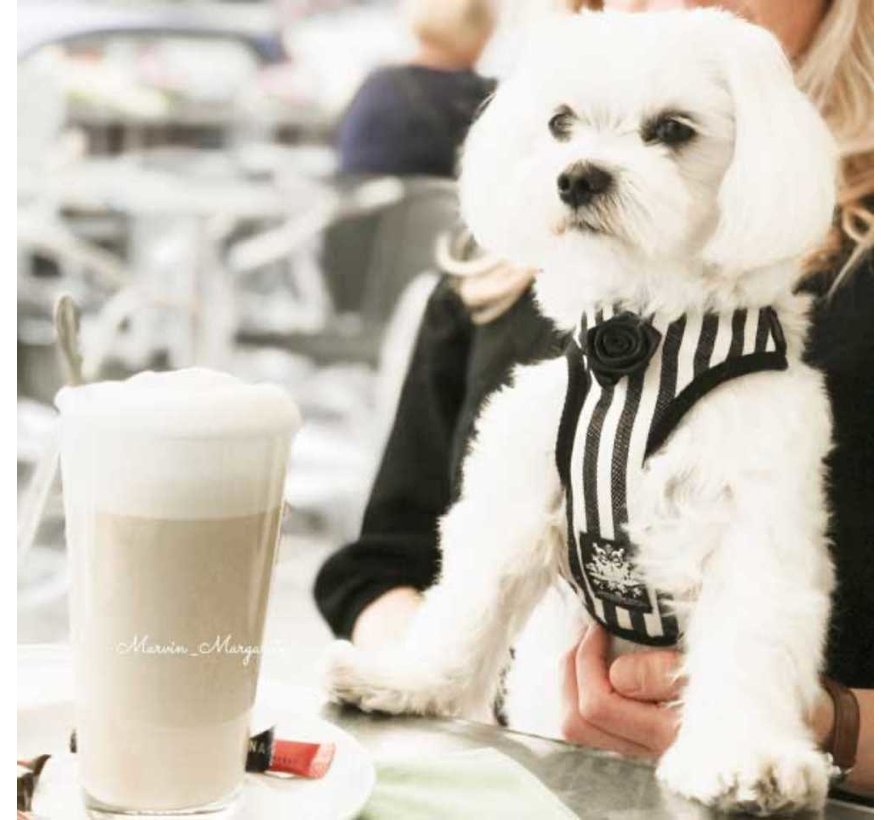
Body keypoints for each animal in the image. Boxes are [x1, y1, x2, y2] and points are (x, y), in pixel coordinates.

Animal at [328, 8, 840, 812]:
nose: (576, 176)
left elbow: (749, 639)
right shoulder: (516, 495)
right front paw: (411, 680)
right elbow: (467, 603)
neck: (639, 347)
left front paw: (744, 755)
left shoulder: (755, 522)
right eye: (560, 122)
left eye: (673, 130)